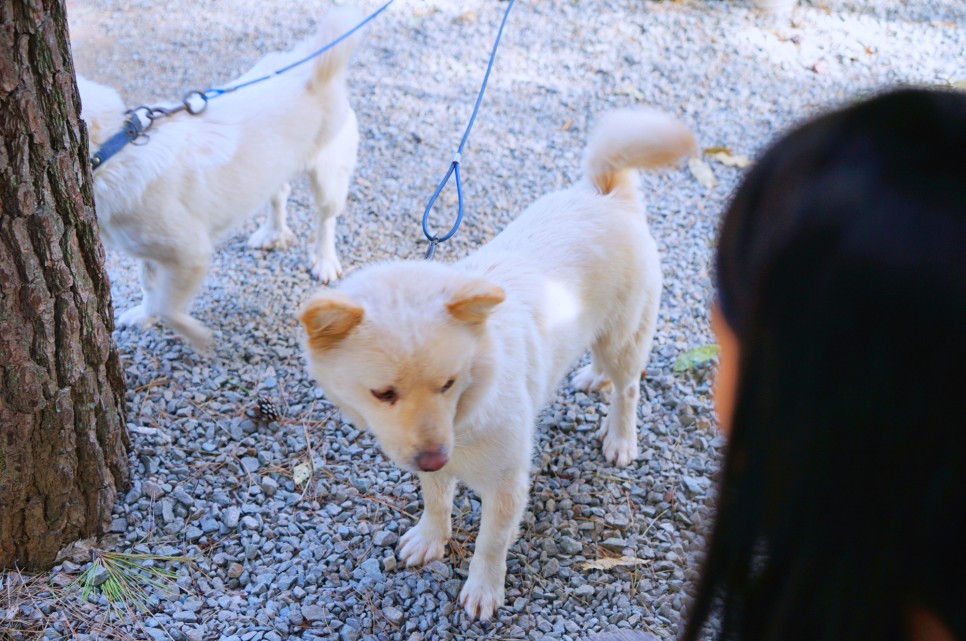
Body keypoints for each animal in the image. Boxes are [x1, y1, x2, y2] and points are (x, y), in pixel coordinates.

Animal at [76, 5, 364, 348]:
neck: (115, 148)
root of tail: (308, 66)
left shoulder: (190, 253)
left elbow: (167, 305)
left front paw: (198, 338)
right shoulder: (150, 252)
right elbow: (149, 285)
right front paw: (144, 316)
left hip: (328, 179)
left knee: (326, 220)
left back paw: (324, 261)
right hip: (271, 166)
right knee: (280, 193)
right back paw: (272, 233)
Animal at [296, 107, 696, 616]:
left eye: (449, 383)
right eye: (383, 394)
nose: (434, 455)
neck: (469, 407)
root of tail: (607, 193)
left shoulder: (506, 485)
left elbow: (490, 543)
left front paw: (484, 589)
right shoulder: (432, 459)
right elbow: (435, 501)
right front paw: (431, 537)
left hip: (625, 337)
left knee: (628, 388)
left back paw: (621, 437)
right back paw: (593, 377)